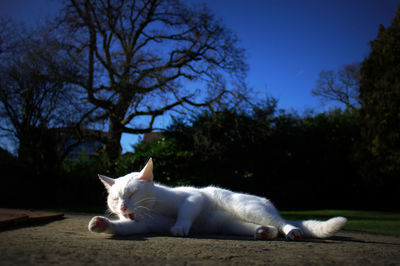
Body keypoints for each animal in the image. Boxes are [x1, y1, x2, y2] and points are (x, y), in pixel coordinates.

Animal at [88, 158, 346, 241]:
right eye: (115, 199)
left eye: (132, 194)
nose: (123, 207)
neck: (152, 208)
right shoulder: (142, 224)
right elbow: (124, 227)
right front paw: (101, 223)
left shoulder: (194, 197)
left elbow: (186, 210)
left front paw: (180, 227)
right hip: (232, 224)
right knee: (271, 228)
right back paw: (264, 232)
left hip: (246, 207)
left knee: (282, 223)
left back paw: (292, 231)